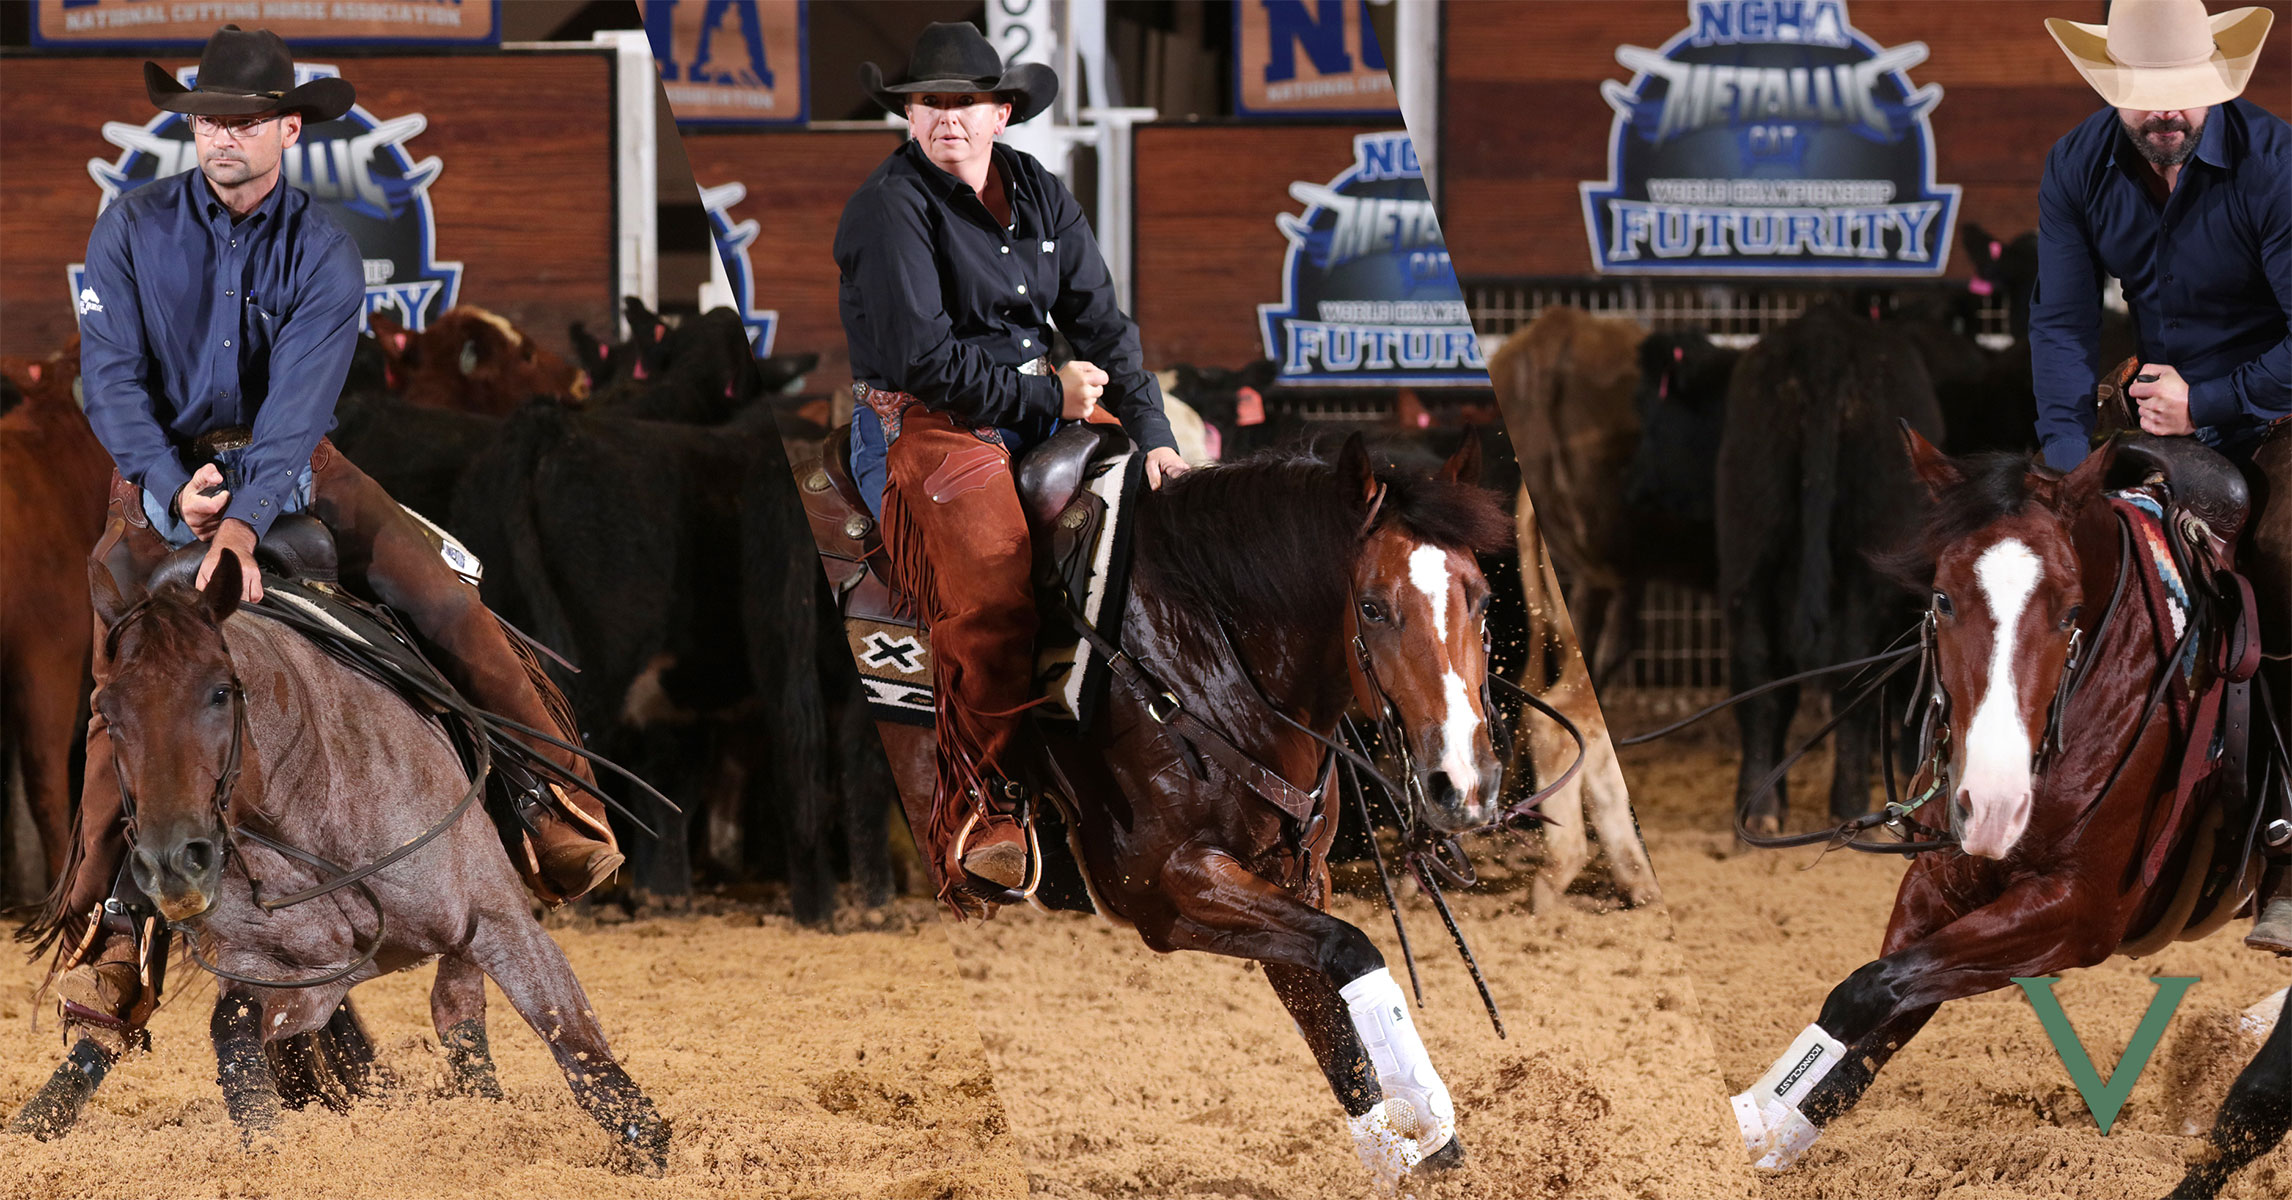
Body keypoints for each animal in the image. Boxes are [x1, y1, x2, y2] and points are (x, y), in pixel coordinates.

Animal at [8, 554, 669, 1172]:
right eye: (107, 710)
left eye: (220, 691)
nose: (173, 862)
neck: (309, 808)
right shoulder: (296, 976)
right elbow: (234, 1031)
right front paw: (268, 1146)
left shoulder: (501, 925)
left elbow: (574, 1040)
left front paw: (649, 1147)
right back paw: (38, 1119)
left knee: (458, 1006)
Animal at [884, 432, 1512, 1190]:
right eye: (1371, 607)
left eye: (1481, 599)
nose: (1466, 781)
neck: (1193, 655)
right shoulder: (1170, 887)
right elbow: (1352, 951)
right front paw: (1430, 1128)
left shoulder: (1294, 874)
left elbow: (1330, 1017)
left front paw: (1415, 1156)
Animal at [1732, 425, 2292, 1190]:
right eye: (1941, 598)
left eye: (2070, 610)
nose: (1994, 806)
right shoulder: (1940, 882)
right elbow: (1874, 1014)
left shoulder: (2077, 911)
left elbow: (1866, 994)